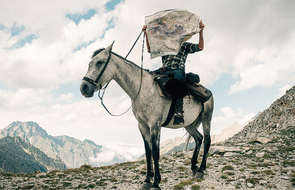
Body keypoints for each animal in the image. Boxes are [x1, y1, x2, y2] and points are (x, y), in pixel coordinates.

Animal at [80, 42, 215, 189]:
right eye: (89, 64)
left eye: (99, 62)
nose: (84, 88)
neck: (142, 90)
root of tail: (208, 91)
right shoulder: (142, 126)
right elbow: (148, 152)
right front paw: (147, 180)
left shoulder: (154, 125)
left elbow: (155, 153)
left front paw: (156, 182)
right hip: (188, 124)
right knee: (198, 138)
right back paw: (194, 167)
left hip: (206, 119)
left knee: (207, 141)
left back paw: (201, 170)